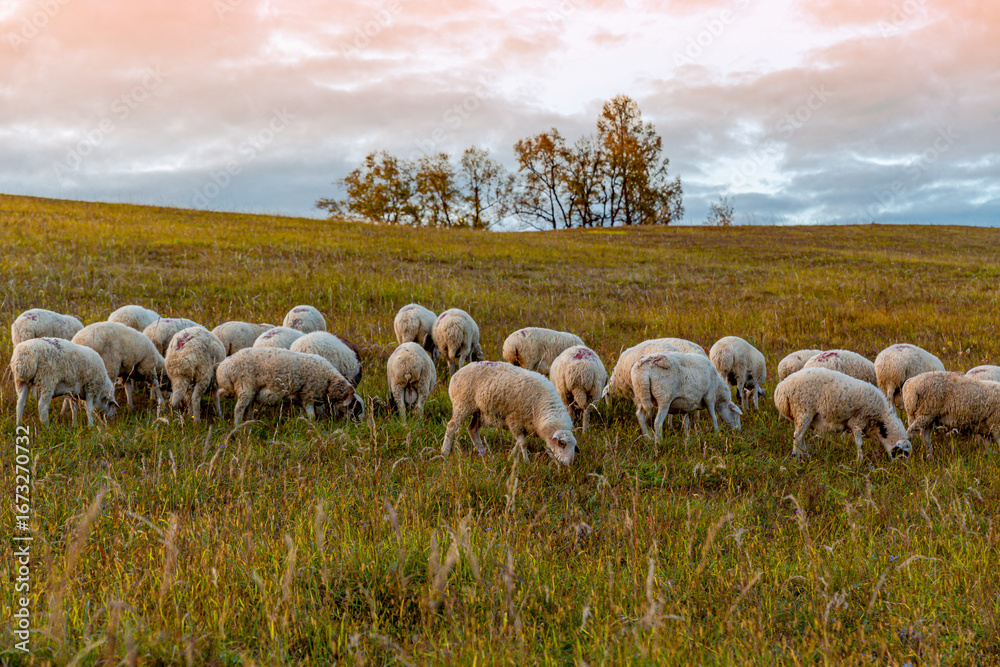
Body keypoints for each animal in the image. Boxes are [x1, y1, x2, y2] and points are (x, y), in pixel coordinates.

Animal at [215, 347, 363, 425]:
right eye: (354, 406)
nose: (361, 423)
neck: (329, 380)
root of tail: (224, 369)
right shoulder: (308, 395)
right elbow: (312, 416)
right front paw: (312, 425)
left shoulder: (301, 397)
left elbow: (303, 413)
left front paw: (301, 421)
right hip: (245, 386)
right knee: (238, 409)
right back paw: (238, 425)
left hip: (245, 390)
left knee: (232, 400)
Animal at [441, 361, 577, 466]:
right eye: (562, 444)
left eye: (574, 446)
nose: (567, 464)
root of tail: (456, 374)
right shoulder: (514, 420)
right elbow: (523, 443)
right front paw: (526, 461)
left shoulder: (525, 424)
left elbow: (518, 443)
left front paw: (511, 457)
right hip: (462, 404)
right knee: (451, 426)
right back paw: (445, 451)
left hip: (479, 411)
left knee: (472, 429)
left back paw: (482, 452)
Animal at [773, 367, 911, 462]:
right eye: (903, 453)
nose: (903, 468)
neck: (879, 418)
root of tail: (781, 389)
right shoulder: (858, 421)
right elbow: (859, 444)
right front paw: (860, 461)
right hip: (803, 411)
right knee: (797, 436)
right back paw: (796, 458)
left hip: (803, 416)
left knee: (800, 437)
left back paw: (806, 456)